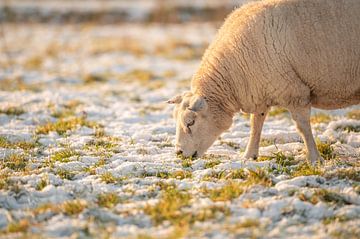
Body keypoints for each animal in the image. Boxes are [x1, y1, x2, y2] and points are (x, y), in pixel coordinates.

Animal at [168, 0, 360, 164]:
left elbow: (302, 127)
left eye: (190, 122)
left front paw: (314, 158)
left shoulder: (294, 92)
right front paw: (249, 155)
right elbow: (256, 125)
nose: (179, 153)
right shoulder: (260, 91)